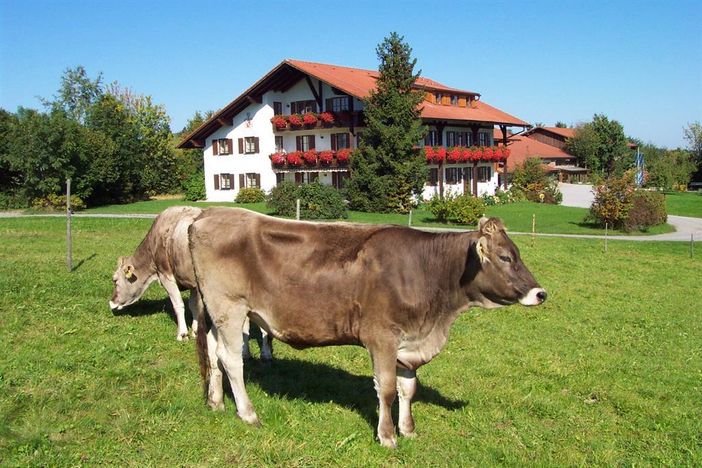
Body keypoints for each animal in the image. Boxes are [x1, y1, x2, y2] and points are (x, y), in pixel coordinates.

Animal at [190, 210, 548, 448]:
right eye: (505, 257)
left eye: (516, 253)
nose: (540, 293)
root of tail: (207, 214)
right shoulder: (382, 338)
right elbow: (387, 389)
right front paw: (387, 436)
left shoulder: (408, 342)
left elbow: (408, 389)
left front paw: (408, 429)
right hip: (230, 308)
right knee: (231, 360)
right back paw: (248, 414)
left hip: (216, 313)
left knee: (213, 354)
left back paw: (216, 402)